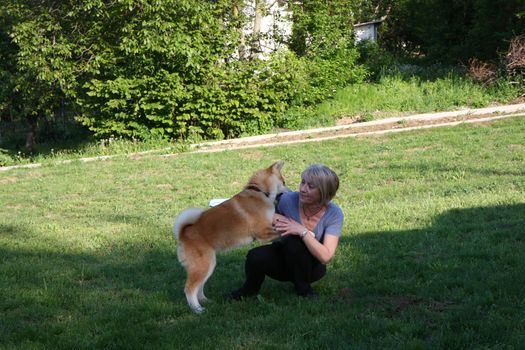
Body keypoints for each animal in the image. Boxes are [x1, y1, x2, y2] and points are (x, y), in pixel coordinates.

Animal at [172, 160, 286, 314]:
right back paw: (197, 309)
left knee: (199, 286)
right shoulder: (262, 232)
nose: (289, 190)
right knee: (190, 288)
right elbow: (279, 232)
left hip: (207, 264)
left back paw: (205, 301)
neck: (259, 192)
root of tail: (183, 234)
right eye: (283, 182)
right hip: (204, 264)